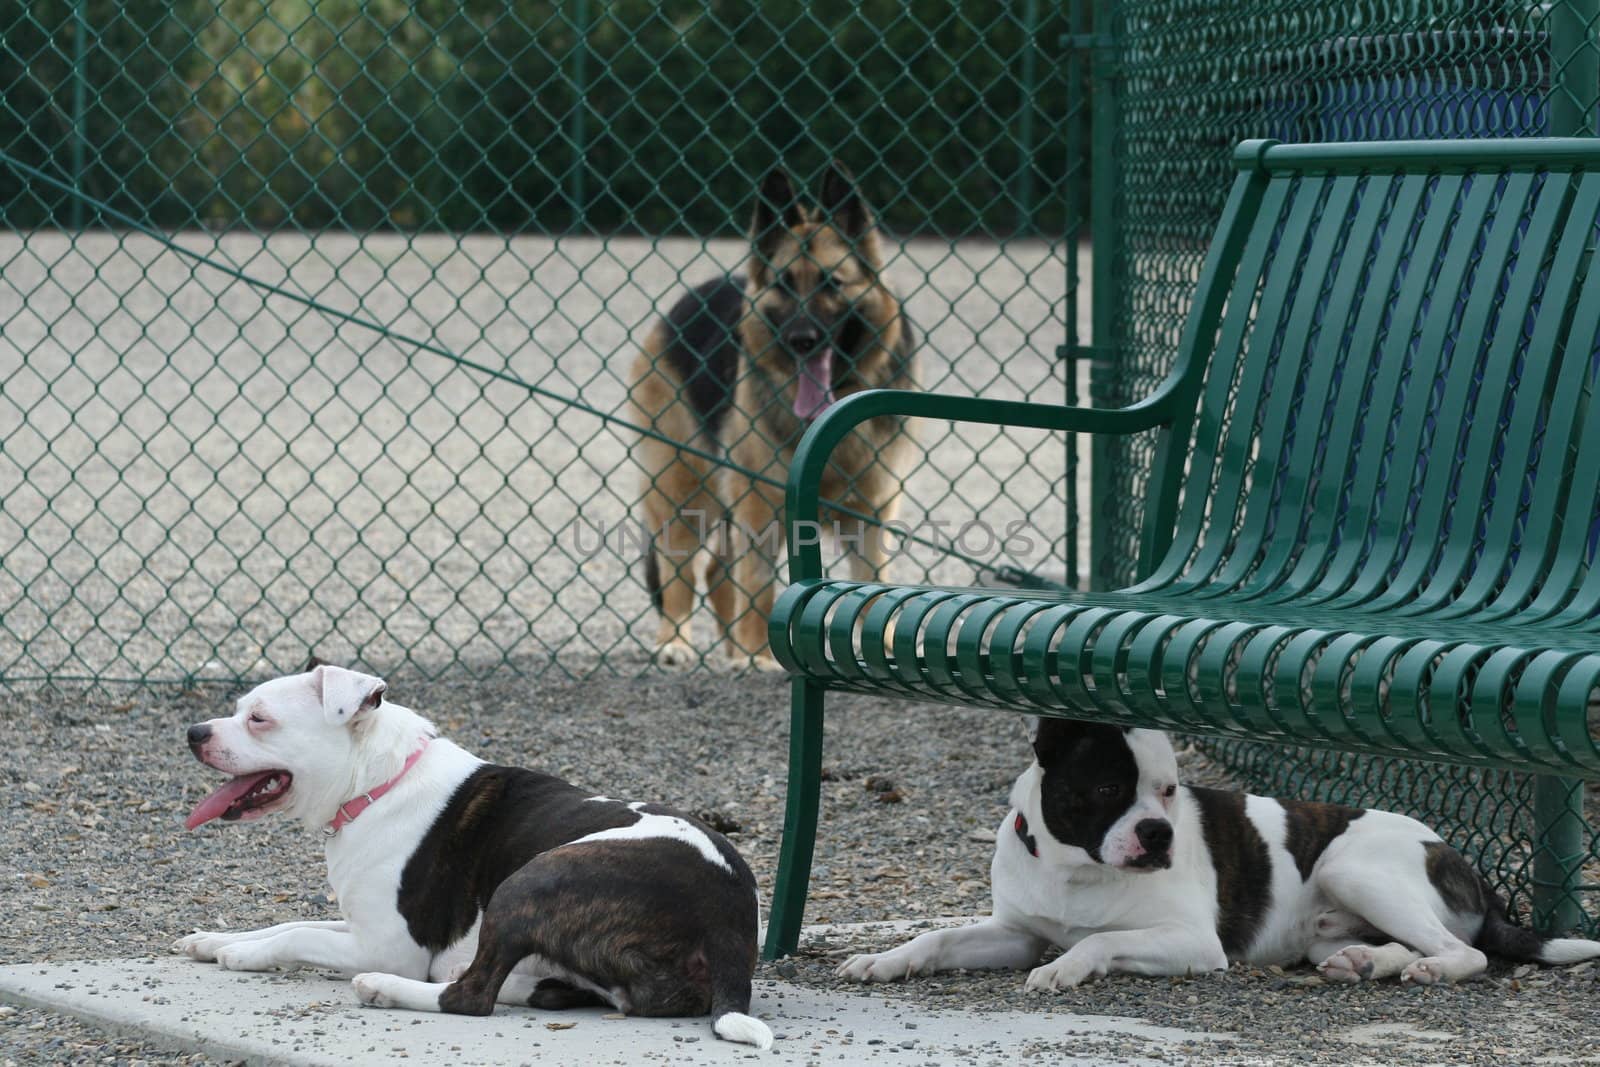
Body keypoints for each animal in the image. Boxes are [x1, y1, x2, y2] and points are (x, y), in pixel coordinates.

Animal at [175, 662, 774, 1049]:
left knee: (471, 995)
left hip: (530, 879)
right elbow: (288, 923)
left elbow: (296, 935)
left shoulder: (391, 946)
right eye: (238, 710)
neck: (377, 781)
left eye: (259, 718)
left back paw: (387, 989)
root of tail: (731, 916)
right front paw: (213, 940)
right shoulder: (363, 924)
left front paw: (242, 957)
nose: (194, 732)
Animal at [627, 164, 921, 668]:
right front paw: (759, 656)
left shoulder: (871, 511)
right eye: (785, 284)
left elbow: (876, 587)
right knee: (681, 572)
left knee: (716, 573)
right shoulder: (760, 505)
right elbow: (759, 587)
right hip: (684, 491)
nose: (802, 340)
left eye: (832, 284)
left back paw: (728, 648)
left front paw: (884, 647)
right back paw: (677, 642)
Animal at [838, 723, 1600, 991]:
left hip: (1351, 868)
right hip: (1334, 919)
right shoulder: (1014, 931)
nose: (1157, 833)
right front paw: (886, 959)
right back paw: (1368, 962)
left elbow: (1095, 942)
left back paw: (1432, 969)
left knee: (1464, 952)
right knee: (1399, 946)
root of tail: (1458, 856)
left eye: (1170, 789)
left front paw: (1065, 968)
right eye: (1109, 789)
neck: (1074, 868)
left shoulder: (1189, 940)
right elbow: (938, 938)